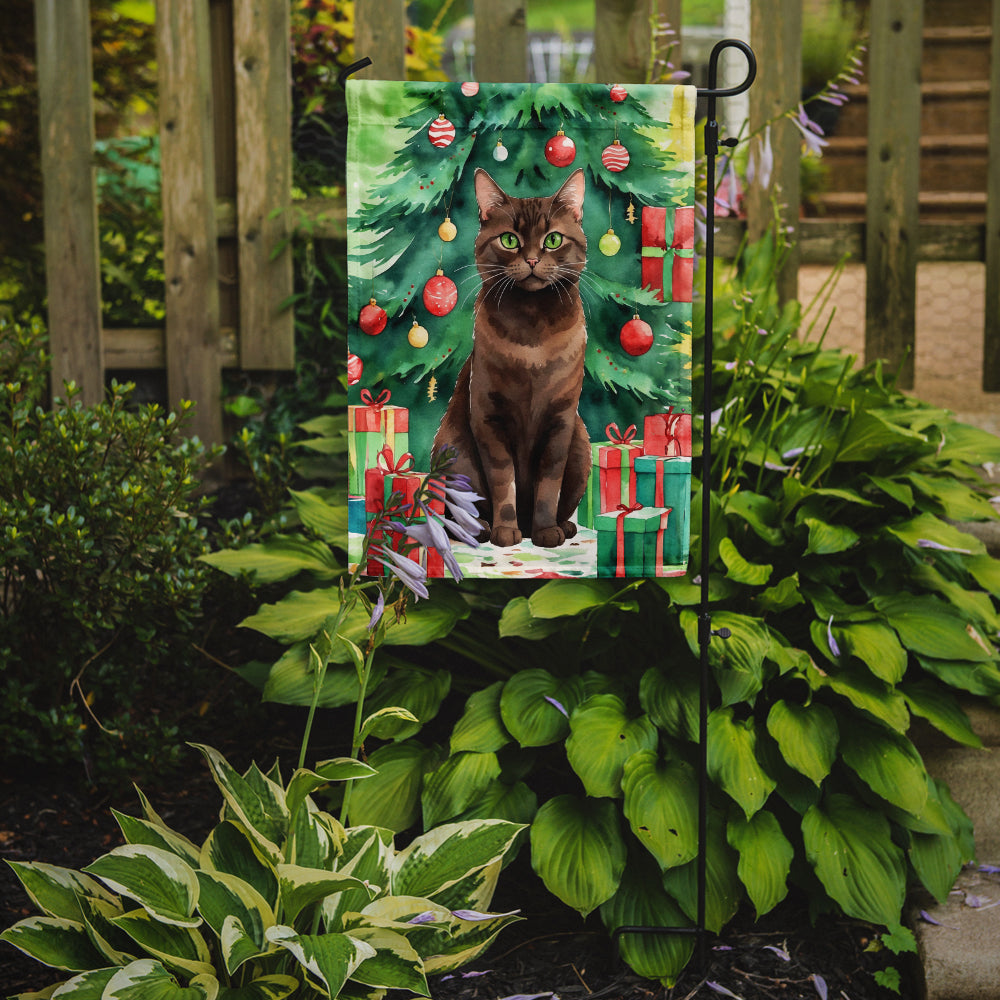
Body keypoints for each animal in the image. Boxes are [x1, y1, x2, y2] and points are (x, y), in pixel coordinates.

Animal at [432, 167, 588, 544]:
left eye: (553, 240)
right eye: (509, 240)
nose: (531, 259)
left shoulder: (561, 422)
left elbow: (549, 486)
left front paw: (545, 531)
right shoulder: (488, 417)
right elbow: (504, 481)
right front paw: (506, 531)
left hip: (581, 445)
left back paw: (561, 526)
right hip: (451, 448)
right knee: (461, 512)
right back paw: (482, 530)